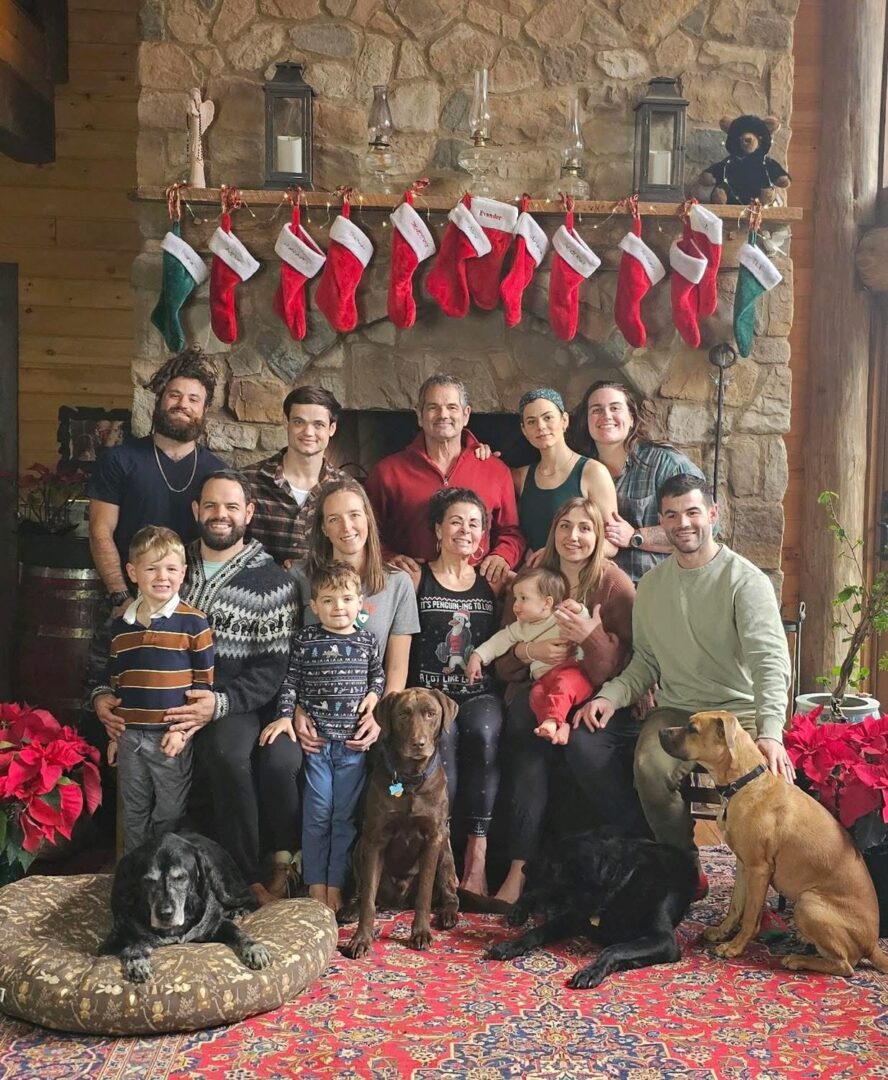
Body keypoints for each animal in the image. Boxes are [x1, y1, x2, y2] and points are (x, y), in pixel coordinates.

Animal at [98, 831, 272, 983]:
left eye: (181, 877)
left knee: (251, 896)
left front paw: (255, 948)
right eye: (148, 881)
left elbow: (238, 933)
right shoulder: (110, 943)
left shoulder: (217, 924)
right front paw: (137, 963)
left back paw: (239, 910)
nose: (165, 914)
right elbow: (132, 945)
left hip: (224, 886)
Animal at [340, 688, 460, 958]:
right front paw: (360, 939)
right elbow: (368, 902)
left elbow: (425, 894)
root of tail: (398, 902)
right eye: (403, 715)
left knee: (450, 893)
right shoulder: (375, 839)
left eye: (430, 714)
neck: (410, 780)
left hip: (445, 849)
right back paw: (350, 908)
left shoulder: (433, 837)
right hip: (359, 848)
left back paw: (448, 914)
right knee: (364, 893)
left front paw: (421, 933)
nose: (419, 743)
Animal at [487, 830, 697, 988]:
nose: (523, 868)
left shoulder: (665, 940)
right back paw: (518, 911)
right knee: (533, 893)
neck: (621, 888)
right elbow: (538, 931)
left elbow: (614, 949)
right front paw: (511, 945)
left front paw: (591, 971)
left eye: (554, 863)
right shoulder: (575, 917)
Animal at [659, 710, 888, 976]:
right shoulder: (743, 865)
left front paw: (735, 948)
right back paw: (804, 940)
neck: (744, 782)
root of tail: (872, 945)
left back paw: (797, 960)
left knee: (845, 965)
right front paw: (722, 932)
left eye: (692, 728)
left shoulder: (759, 869)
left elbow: (750, 916)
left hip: (807, 903)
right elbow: (735, 906)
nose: (660, 732)